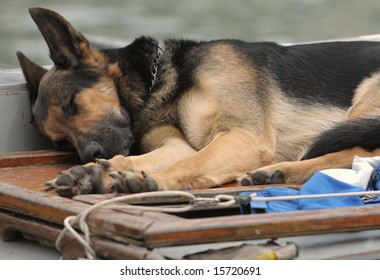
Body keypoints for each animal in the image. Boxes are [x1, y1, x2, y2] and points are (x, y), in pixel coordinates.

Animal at [18, 7, 380, 198]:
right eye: (60, 142)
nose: (89, 154)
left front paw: (152, 182)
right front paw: (96, 173)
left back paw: (277, 171)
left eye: (72, 103)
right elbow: (142, 158)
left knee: (358, 151)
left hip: (364, 99)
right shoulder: (178, 144)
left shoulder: (244, 137)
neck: (165, 78)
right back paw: (275, 174)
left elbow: (188, 164)